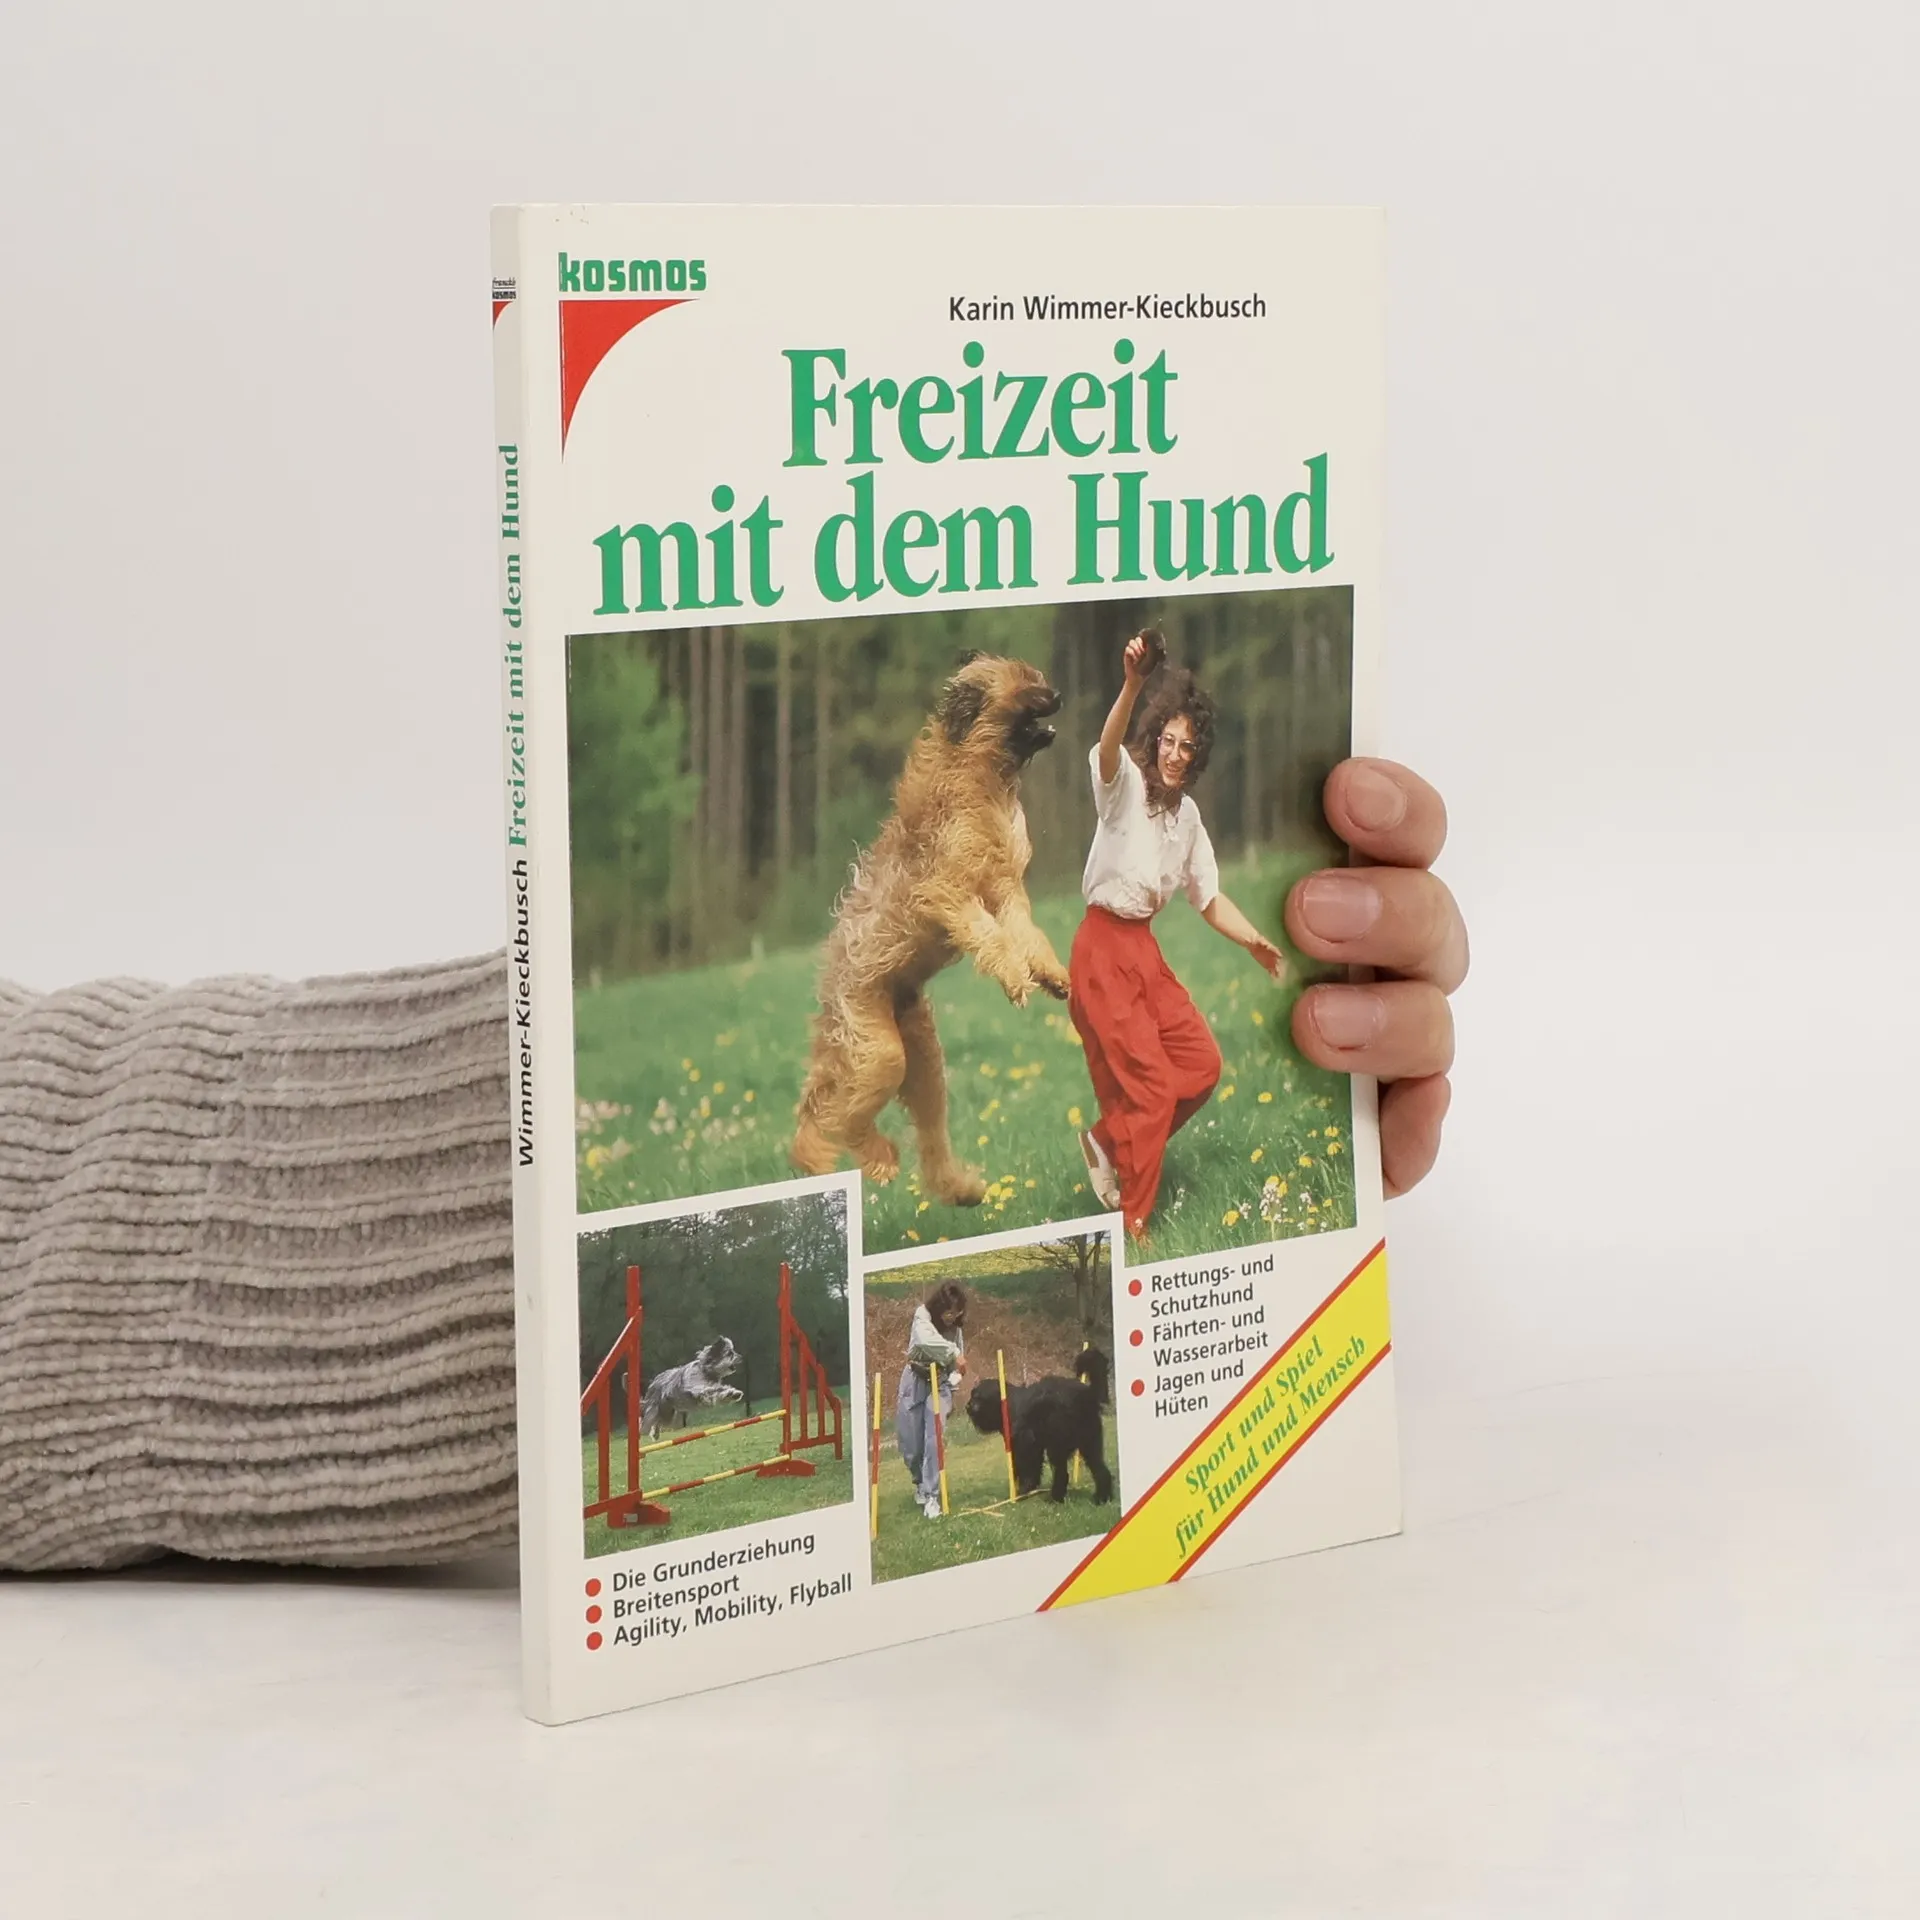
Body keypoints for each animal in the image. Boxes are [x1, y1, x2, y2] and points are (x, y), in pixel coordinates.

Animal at [791, 653, 1070, 1205]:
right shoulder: (948, 891)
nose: (1058, 694)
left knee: (928, 1131)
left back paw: (959, 1188)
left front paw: (1049, 973)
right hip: (876, 1047)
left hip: (924, 1057)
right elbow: (990, 935)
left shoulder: (1007, 889)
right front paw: (1014, 978)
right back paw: (870, 1157)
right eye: (1026, 685)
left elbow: (1025, 933)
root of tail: (829, 998)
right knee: (835, 1115)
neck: (980, 775)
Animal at [964, 1375, 1114, 1504]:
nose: (967, 1406)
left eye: (977, 1396)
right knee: (1100, 1469)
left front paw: (1023, 1490)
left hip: (1057, 1446)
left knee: (1062, 1473)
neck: (1007, 1405)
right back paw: (1102, 1498)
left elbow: (1025, 1467)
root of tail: (1086, 1395)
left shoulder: (1024, 1444)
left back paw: (1056, 1497)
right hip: (1090, 1443)